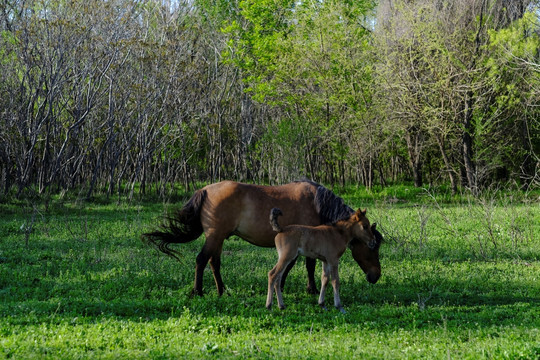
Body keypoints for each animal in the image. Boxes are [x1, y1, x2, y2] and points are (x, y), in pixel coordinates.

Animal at [141, 179, 382, 296]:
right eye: (372, 247)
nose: (376, 276)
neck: (316, 202)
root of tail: (205, 190)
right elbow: (307, 265)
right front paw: (310, 290)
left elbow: (292, 265)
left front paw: (282, 286)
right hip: (215, 237)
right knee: (201, 260)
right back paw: (198, 292)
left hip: (219, 238)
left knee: (214, 262)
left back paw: (222, 291)